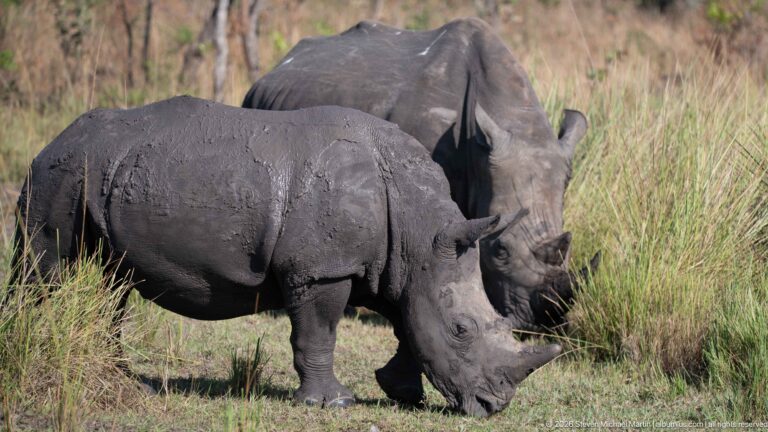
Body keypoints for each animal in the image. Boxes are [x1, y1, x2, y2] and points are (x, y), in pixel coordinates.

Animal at [12, 96, 561, 417]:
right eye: (461, 330)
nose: (494, 406)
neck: (419, 231)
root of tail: (53, 139)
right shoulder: (323, 270)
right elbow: (319, 332)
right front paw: (332, 404)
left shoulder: (396, 266)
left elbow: (408, 322)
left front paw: (401, 392)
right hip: (59, 173)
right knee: (44, 274)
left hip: (98, 170)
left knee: (111, 285)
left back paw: (128, 384)